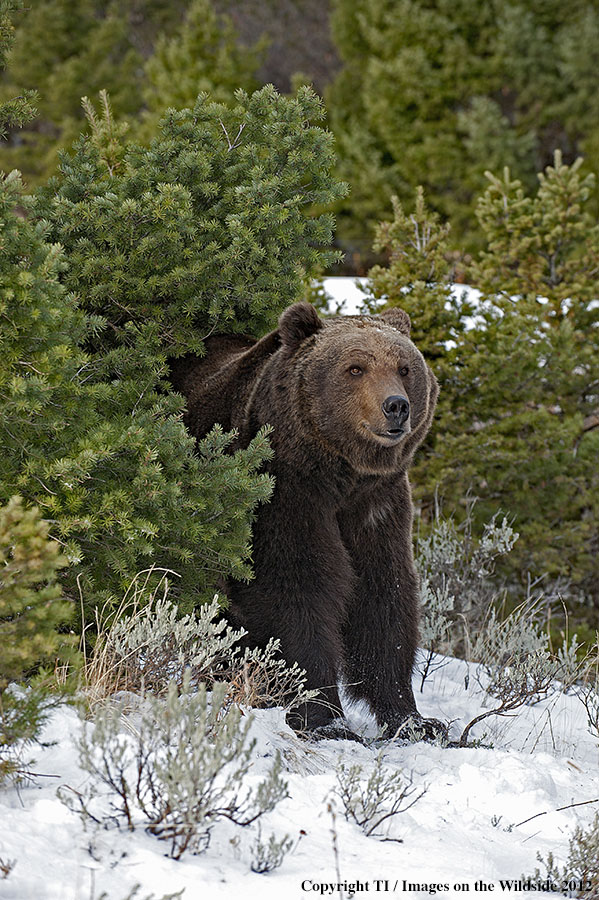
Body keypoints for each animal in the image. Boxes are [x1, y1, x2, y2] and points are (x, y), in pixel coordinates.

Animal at [171, 302, 442, 740]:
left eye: (404, 367)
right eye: (355, 368)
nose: (396, 406)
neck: (341, 476)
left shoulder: (378, 507)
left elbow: (384, 596)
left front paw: (414, 720)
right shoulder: (284, 493)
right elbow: (296, 590)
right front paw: (325, 719)